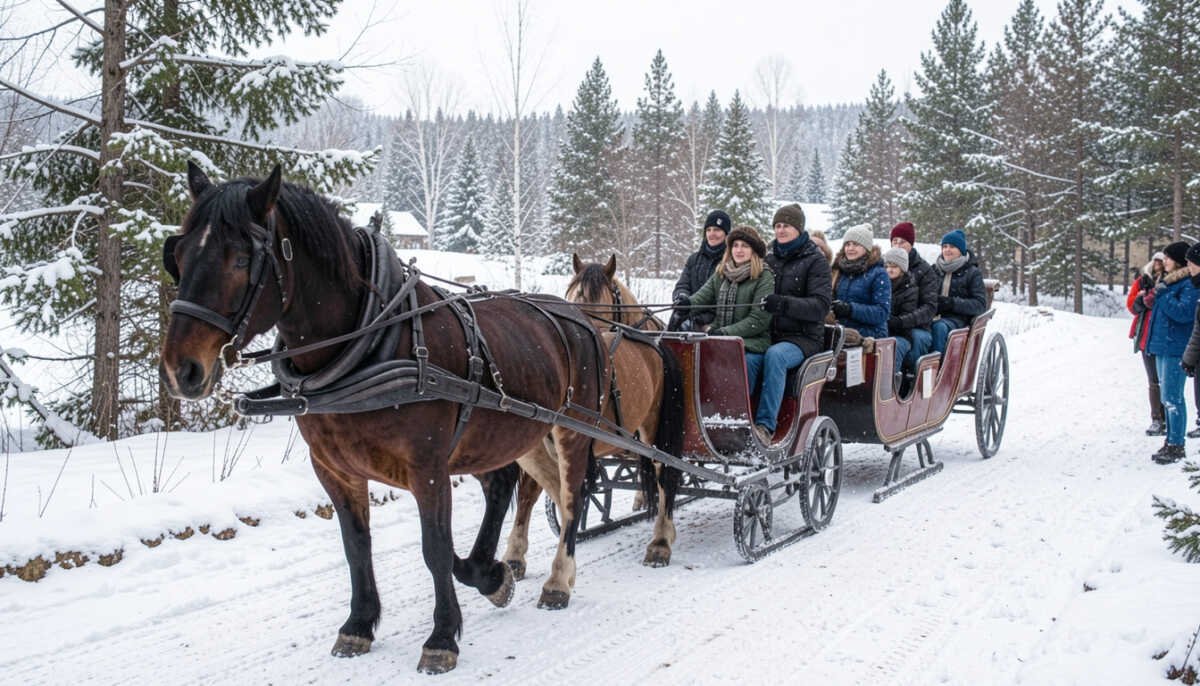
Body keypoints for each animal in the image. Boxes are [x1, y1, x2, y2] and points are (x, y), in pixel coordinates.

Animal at [159, 163, 605, 674]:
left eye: (239, 259)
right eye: (179, 254)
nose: (180, 369)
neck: (369, 340)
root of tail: (576, 314)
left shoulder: (427, 467)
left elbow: (434, 548)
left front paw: (442, 637)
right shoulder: (333, 468)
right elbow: (357, 546)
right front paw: (358, 625)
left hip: (570, 429)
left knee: (571, 498)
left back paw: (557, 581)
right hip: (504, 433)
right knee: (504, 484)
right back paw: (491, 571)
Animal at [500, 254, 684, 571]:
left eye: (603, 302)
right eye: (571, 297)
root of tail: (657, 345)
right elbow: (529, 492)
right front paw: (514, 555)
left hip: (654, 429)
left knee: (663, 474)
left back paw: (661, 541)